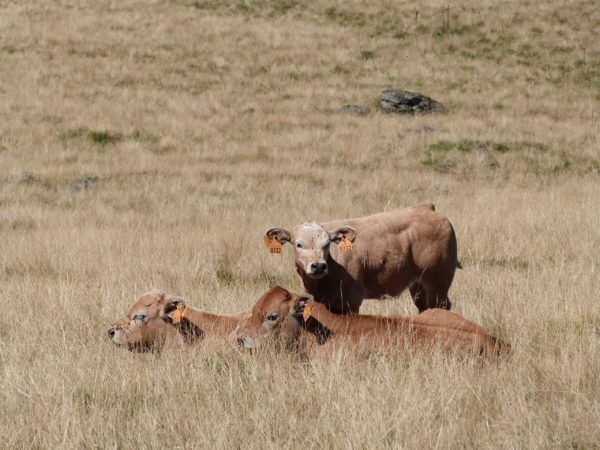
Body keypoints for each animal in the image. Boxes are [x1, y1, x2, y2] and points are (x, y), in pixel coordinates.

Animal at [264, 203, 460, 314]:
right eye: (299, 244)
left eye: (327, 244)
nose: (318, 266)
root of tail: (427, 208)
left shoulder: (352, 301)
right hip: (418, 285)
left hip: (437, 284)